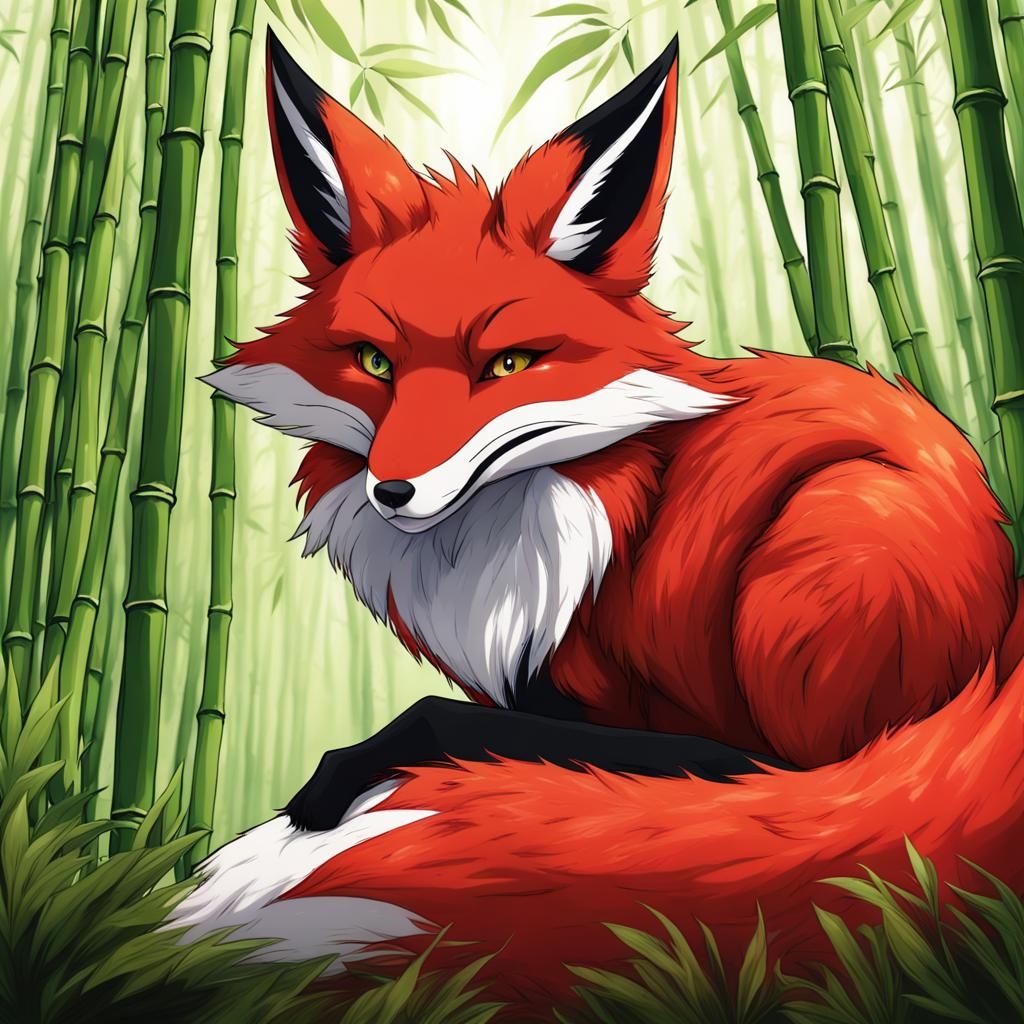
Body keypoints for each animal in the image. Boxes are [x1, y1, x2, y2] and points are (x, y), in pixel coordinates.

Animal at [172, 29, 1024, 1012]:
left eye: (508, 364)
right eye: (374, 362)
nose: (396, 490)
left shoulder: (636, 703)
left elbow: (486, 731)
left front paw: (339, 779)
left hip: (830, 547)